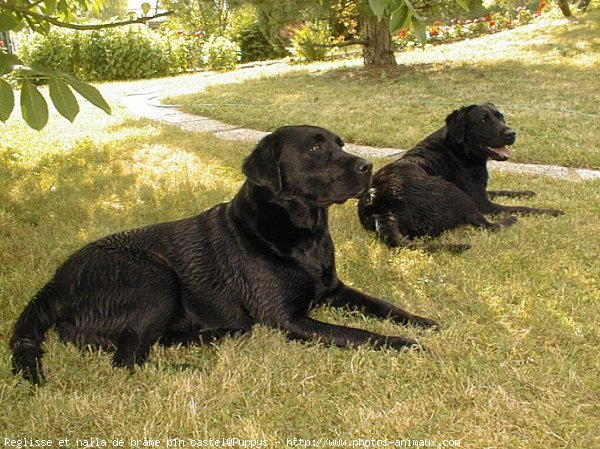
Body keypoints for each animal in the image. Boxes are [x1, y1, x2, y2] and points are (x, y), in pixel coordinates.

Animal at [11, 124, 438, 384]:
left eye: (340, 144)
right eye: (316, 146)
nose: (369, 166)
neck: (303, 236)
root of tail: (54, 282)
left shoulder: (334, 290)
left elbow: (384, 306)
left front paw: (422, 322)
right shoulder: (287, 320)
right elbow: (358, 333)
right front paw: (403, 344)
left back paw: (213, 336)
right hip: (154, 278)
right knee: (127, 357)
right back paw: (187, 365)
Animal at [356, 104, 564, 252]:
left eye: (501, 117)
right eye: (483, 120)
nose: (511, 133)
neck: (459, 148)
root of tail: (383, 211)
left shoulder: (479, 191)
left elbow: (505, 191)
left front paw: (527, 192)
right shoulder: (483, 203)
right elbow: (523, 208)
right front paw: (550, 210)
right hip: (454, 192)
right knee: (488, 225)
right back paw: (510, 221)